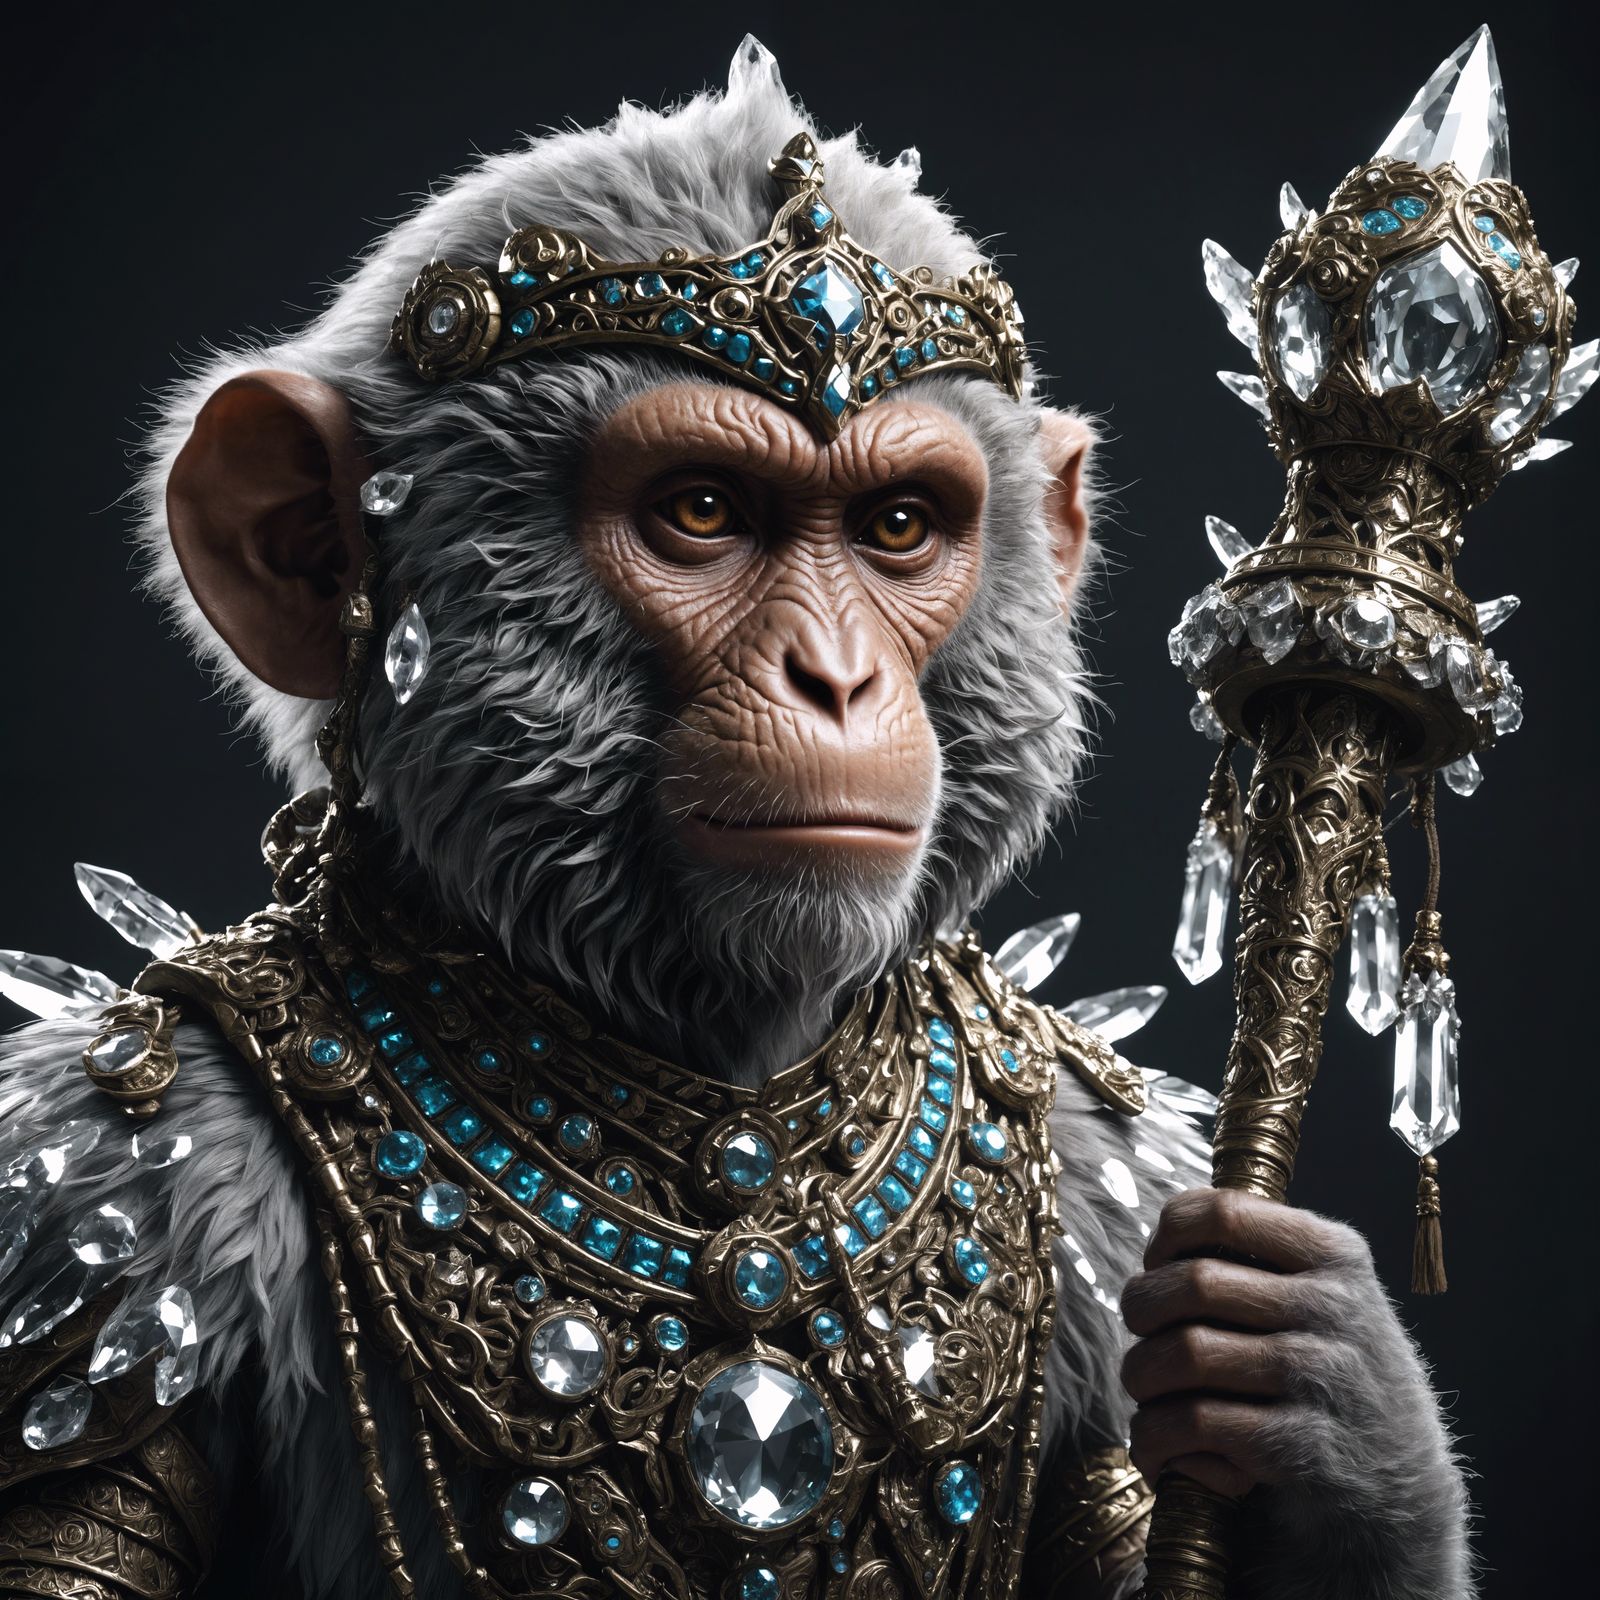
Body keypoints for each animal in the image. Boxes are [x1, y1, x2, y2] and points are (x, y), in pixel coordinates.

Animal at [0, 38, 1472, 1600]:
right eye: (702, 511)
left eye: (899, 527)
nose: (833, 678)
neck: (734, 1115)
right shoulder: (110, 1209)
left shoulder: (1113, 1171)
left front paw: (1336, 1414)